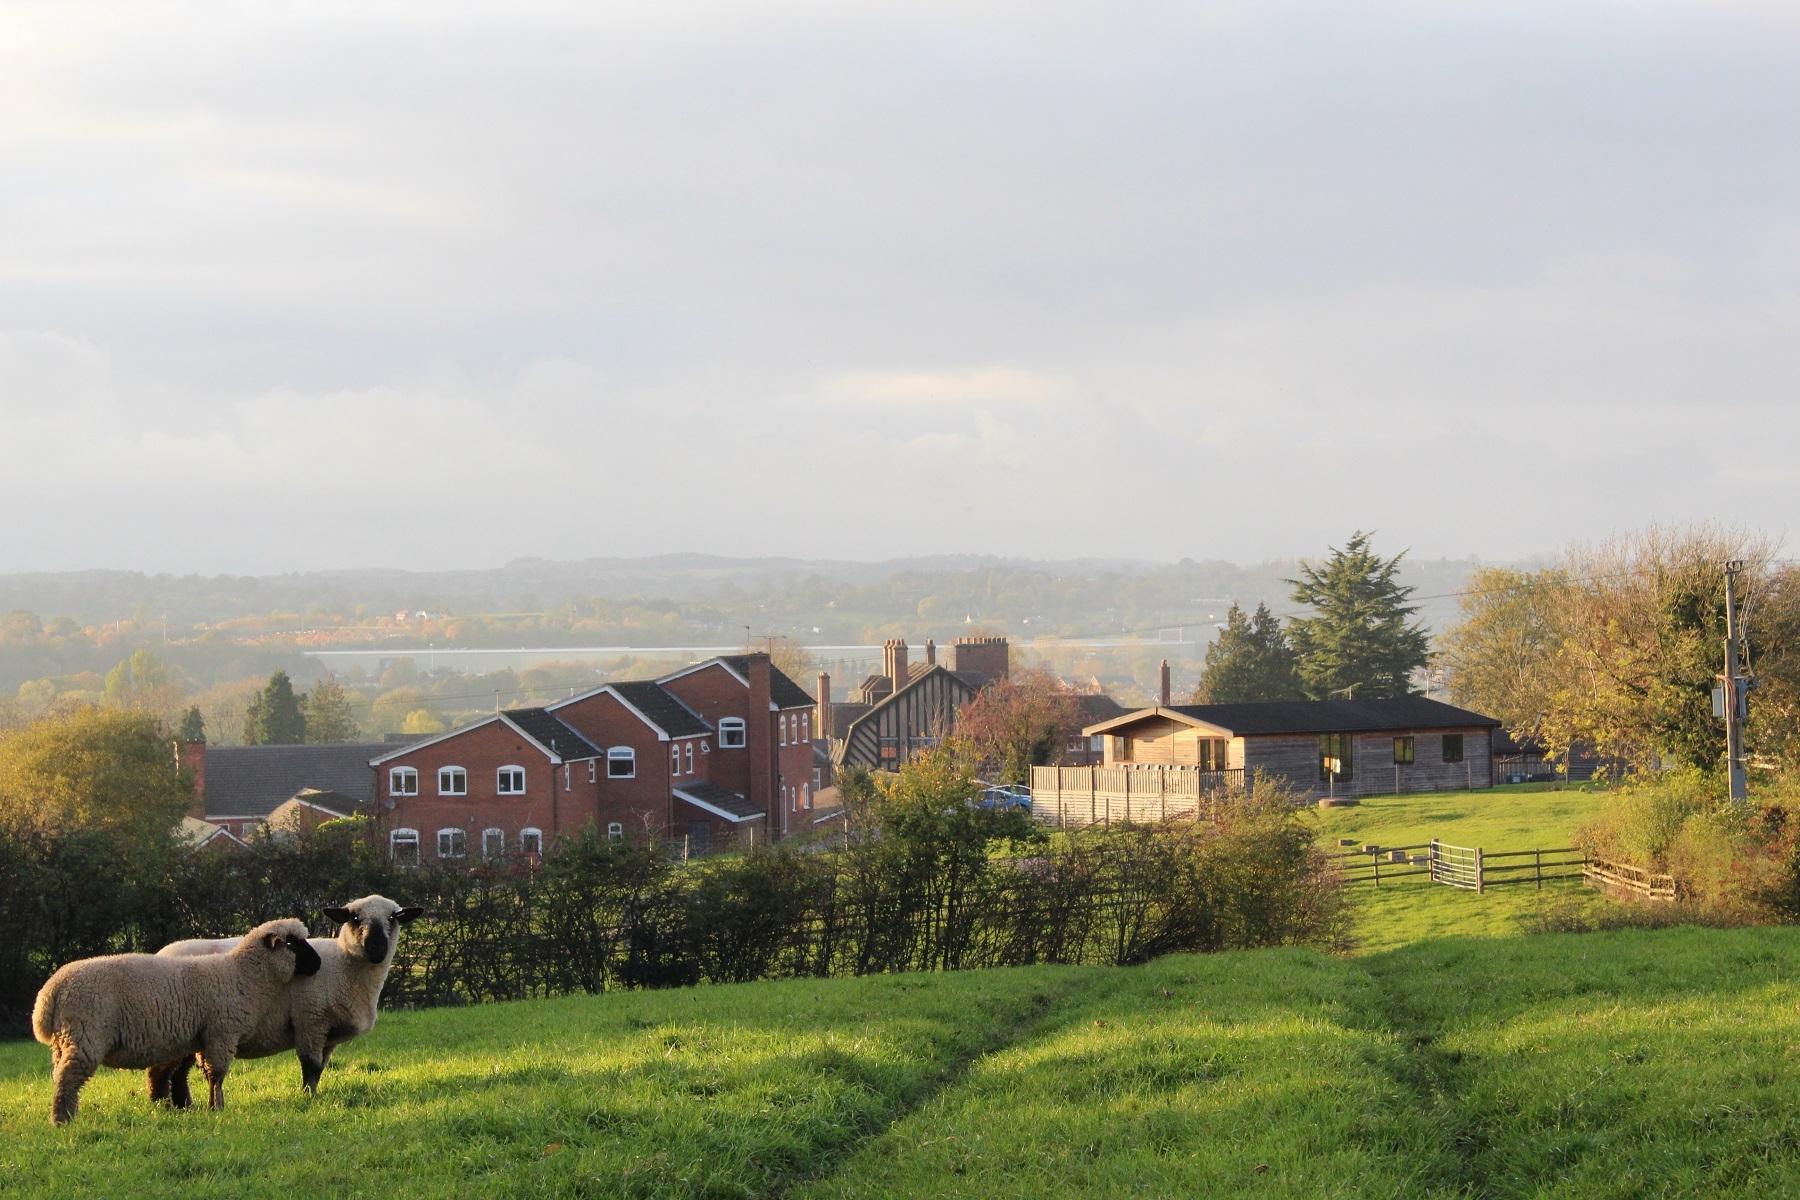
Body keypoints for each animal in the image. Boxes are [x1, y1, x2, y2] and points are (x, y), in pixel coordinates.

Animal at [29, 921, 318, 1129]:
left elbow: (206, 1074)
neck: (241, 975)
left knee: (60, 1077)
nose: (318, 964)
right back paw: (62, 1121)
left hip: (64, 1041)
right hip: (85, 1035)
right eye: (293, 943)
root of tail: (50, 991)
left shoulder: (204, 1037)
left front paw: (210, 1106)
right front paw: (217, 1108)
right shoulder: (221, 1033)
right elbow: (217, 1075)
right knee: (67, 1079)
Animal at [146, 892, 421, 1108]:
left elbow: (321, 1068)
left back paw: (181, 1106)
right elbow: (311, 1066)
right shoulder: (311, 1021)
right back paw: (163, 1105)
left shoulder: (329, 1036)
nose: (376, 948)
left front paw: (312, 1094)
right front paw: (308, 1098)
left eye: (393, 918)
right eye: (355, 918)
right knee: (162, 1070)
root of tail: (162, 952)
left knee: (177, 1072)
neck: (343, 964)